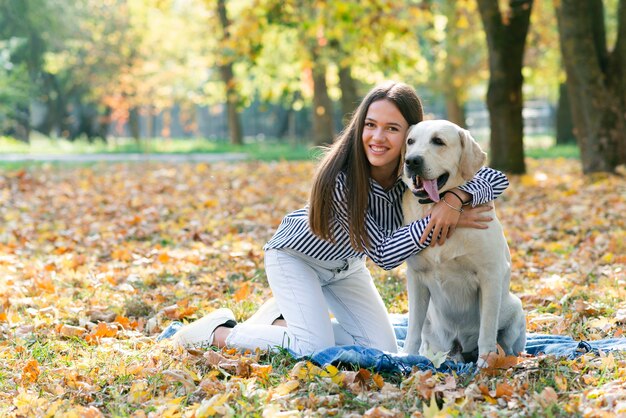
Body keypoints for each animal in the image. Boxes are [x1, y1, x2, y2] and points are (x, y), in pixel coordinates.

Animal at [400, 118, 520, 366]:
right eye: (410, 141)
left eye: (438, 141)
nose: (411, 161)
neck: (435, 210)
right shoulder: (415, 278)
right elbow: (412, 329)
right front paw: (406, 356)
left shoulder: (490, 274)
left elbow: (487, 327)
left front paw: (486, 362)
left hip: (516, 309)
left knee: (509, 345)